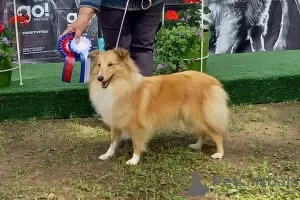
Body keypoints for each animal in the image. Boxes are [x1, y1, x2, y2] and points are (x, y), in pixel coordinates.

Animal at [86, 47, 230, 165]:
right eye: (99, 65)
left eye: (111, 64)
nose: (100, 78)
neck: (121, 85)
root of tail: (212, 80)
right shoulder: (115, 119)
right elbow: (113, 141)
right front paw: (107, 155)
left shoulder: (137, 125)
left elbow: (136, 143)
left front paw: (134, 160)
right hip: (192, 117)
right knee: (203, 133)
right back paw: (197, 146)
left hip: (197, 116)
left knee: (216, 134)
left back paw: (219, 154)